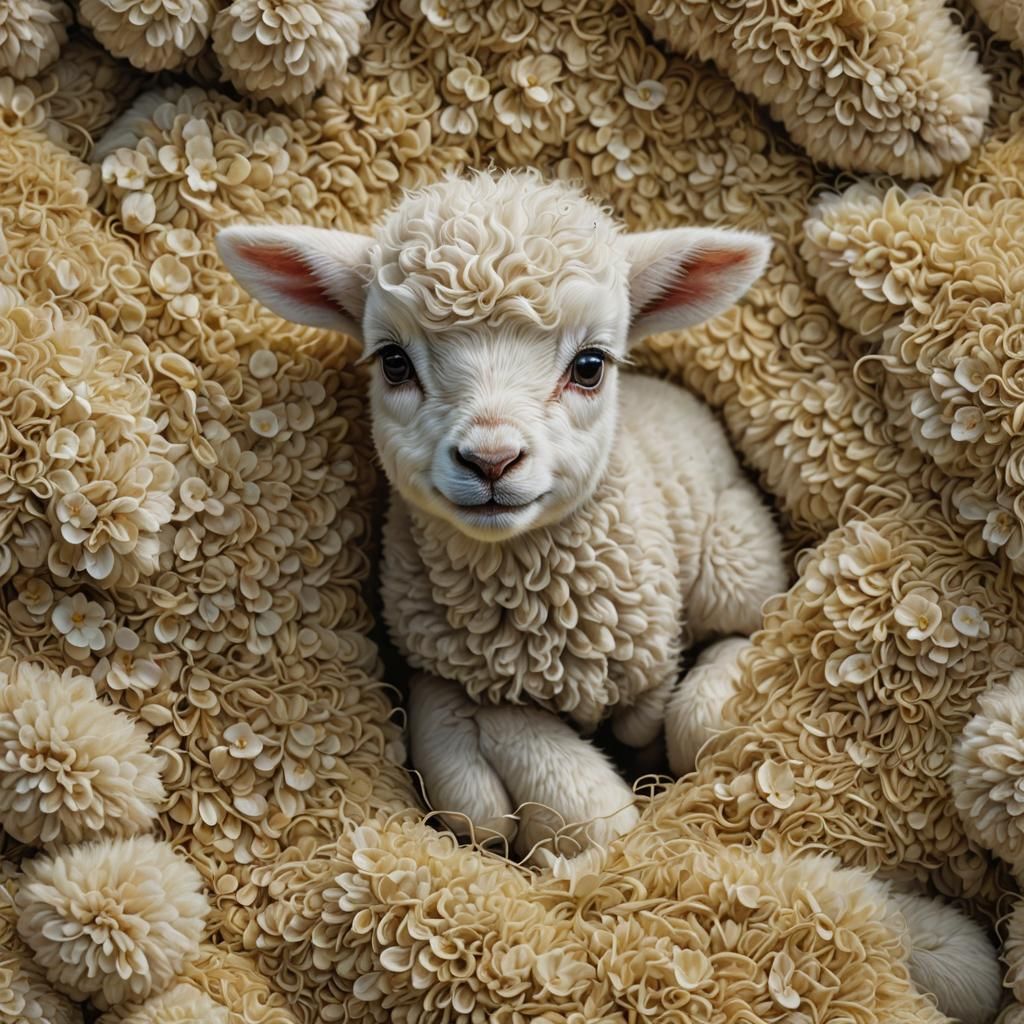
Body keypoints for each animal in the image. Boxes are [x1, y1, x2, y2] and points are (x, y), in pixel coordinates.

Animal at [217, 169, 788, 863]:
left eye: (590, 365)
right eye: (394, 362)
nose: (491, 460)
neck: (540, 615)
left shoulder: (736, 609)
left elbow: (694, 717)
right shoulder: (432, 662)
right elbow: (526, 791)